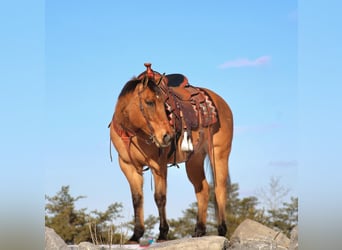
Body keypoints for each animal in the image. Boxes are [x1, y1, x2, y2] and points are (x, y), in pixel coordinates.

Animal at [108, 63, 234, 242]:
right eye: (149, 102)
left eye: (164, 104)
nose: (167, 136)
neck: (131, 133)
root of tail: (220, 101)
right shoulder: (129, 167)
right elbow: (137, 199)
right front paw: (136, 235)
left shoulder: (158, 166)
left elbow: (160, 198)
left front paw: (163, 233)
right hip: (194, 160)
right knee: (202, 189)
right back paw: (199, 230)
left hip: (219, 155)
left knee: (219, 188)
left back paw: (221, 229)